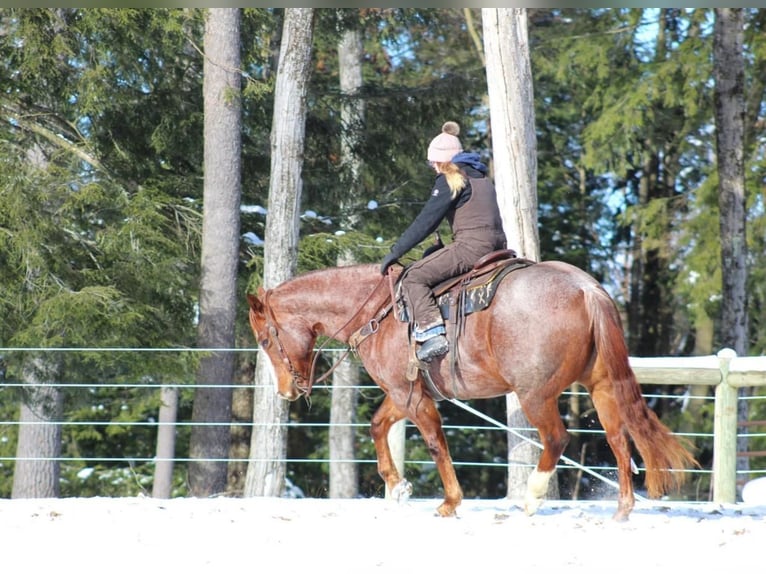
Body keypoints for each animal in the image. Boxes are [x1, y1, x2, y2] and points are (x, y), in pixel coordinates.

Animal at [249, 260, 700, 520]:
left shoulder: (412, 396)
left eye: (266, 339)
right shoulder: (402, 392)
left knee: (556, 438)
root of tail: (586, 289)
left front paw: (450, 501)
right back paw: (622, 509)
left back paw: (532, 497)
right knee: (619, 438)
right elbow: (377, 426)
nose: (288, 392)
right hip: (601, 385)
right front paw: (396, 487)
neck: (379, 311)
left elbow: (435, 443)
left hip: (534, 394)